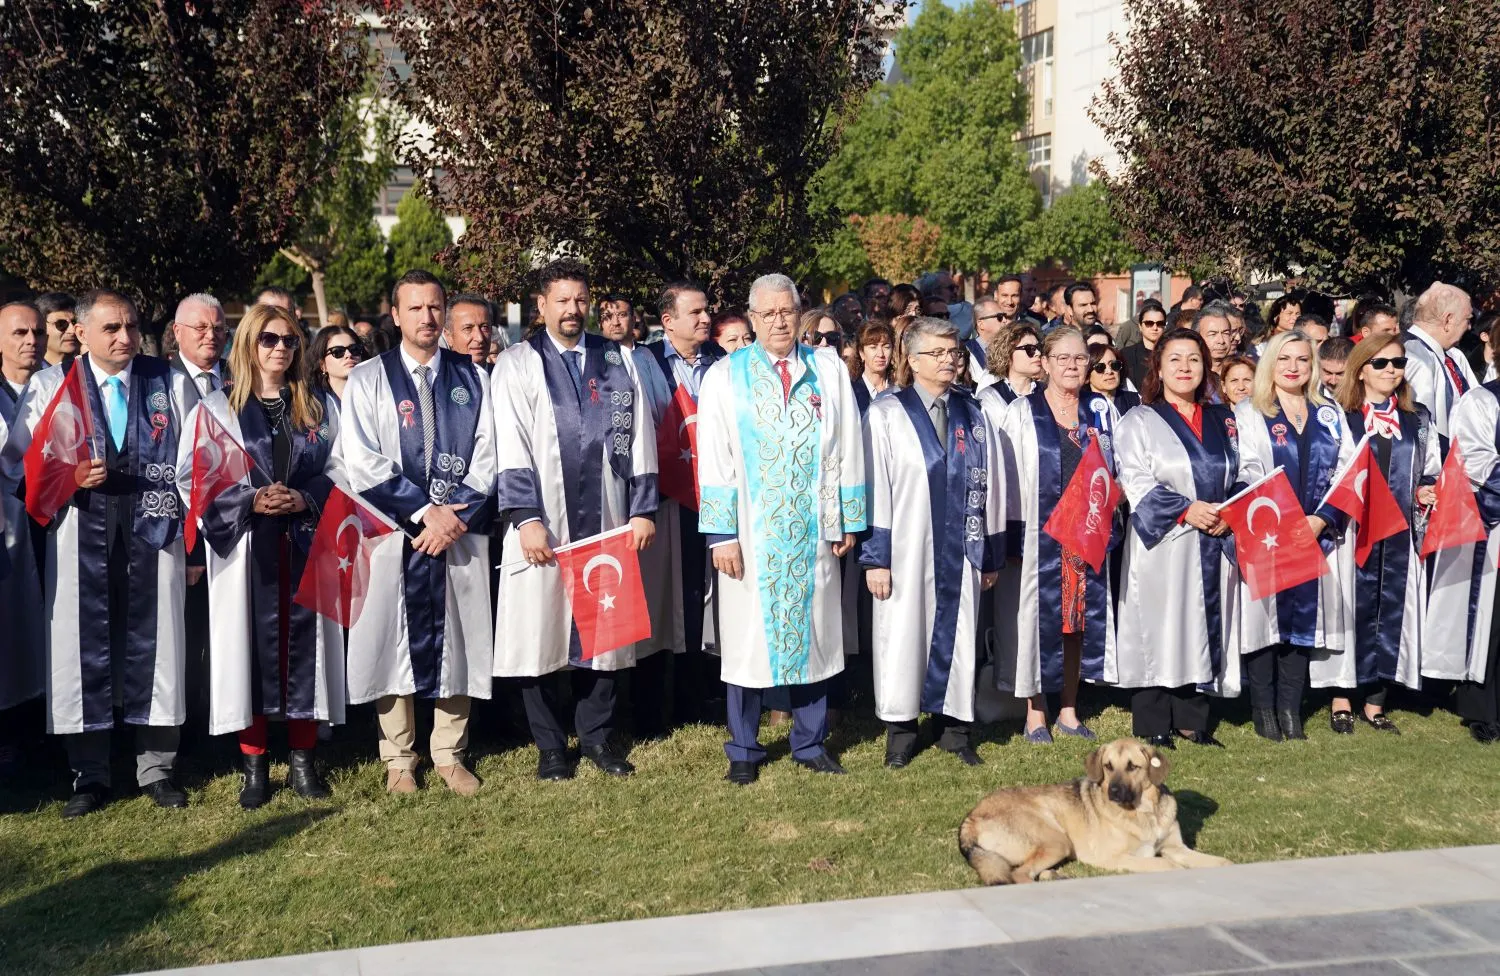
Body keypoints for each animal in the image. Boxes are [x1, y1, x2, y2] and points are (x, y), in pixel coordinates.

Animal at [960, 731, 1230, 887]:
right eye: (1108, 766)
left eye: (1133, 767)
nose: (1113, 791)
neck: (1144, 812)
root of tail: (970, 819)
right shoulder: (1117, 857)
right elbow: (1168, 865)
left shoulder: (1176, 848)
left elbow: (1222, 862)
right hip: (1057, 840)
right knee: (1019, 875)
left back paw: (1057, 876)